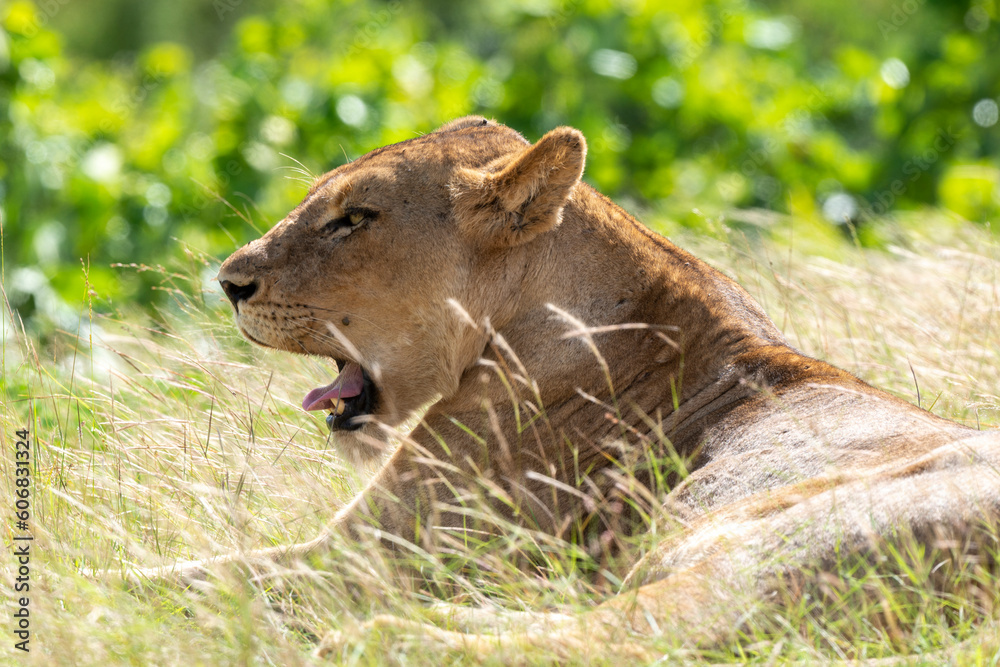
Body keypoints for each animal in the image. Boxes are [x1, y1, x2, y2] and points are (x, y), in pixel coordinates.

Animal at [175, 116, 997, 658]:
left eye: (355, 217)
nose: (228, 282)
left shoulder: (366, 556)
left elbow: (182, 578)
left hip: (739, 559)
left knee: (608, 643)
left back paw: (368, 640)